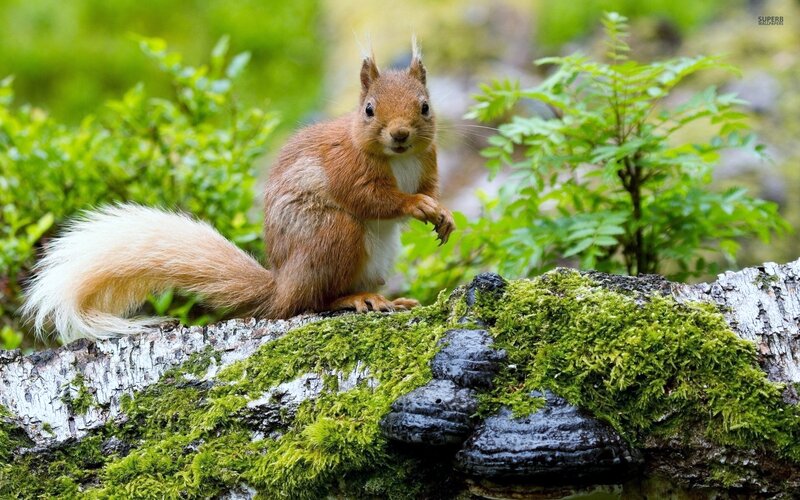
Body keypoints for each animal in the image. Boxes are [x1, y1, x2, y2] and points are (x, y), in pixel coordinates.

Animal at [23, 42, 455, 343]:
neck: (399, 158)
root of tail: (281, 285)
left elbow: (430, 190)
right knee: (309, 304)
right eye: (368, 109)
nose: (400, 135)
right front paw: (415, 205)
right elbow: (374, 199)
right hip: (333, 235)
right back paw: (354, 300)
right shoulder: (346, 169)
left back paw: (390, 300)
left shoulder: (429, 162)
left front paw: (442, 213)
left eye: (425, 106)